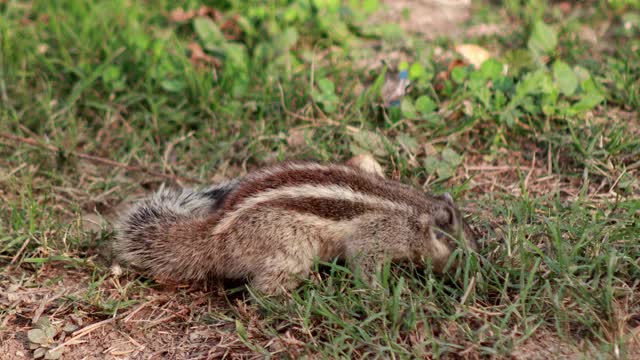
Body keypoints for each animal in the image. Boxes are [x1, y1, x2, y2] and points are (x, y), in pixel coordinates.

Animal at [112, 155, 478, 296]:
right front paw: (383, 294)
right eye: (460, 251)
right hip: (288, 250)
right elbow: (364, 262)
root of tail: (213, 236)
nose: (475, 274)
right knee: (261, 291)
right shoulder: (376, 236)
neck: (417, 213)